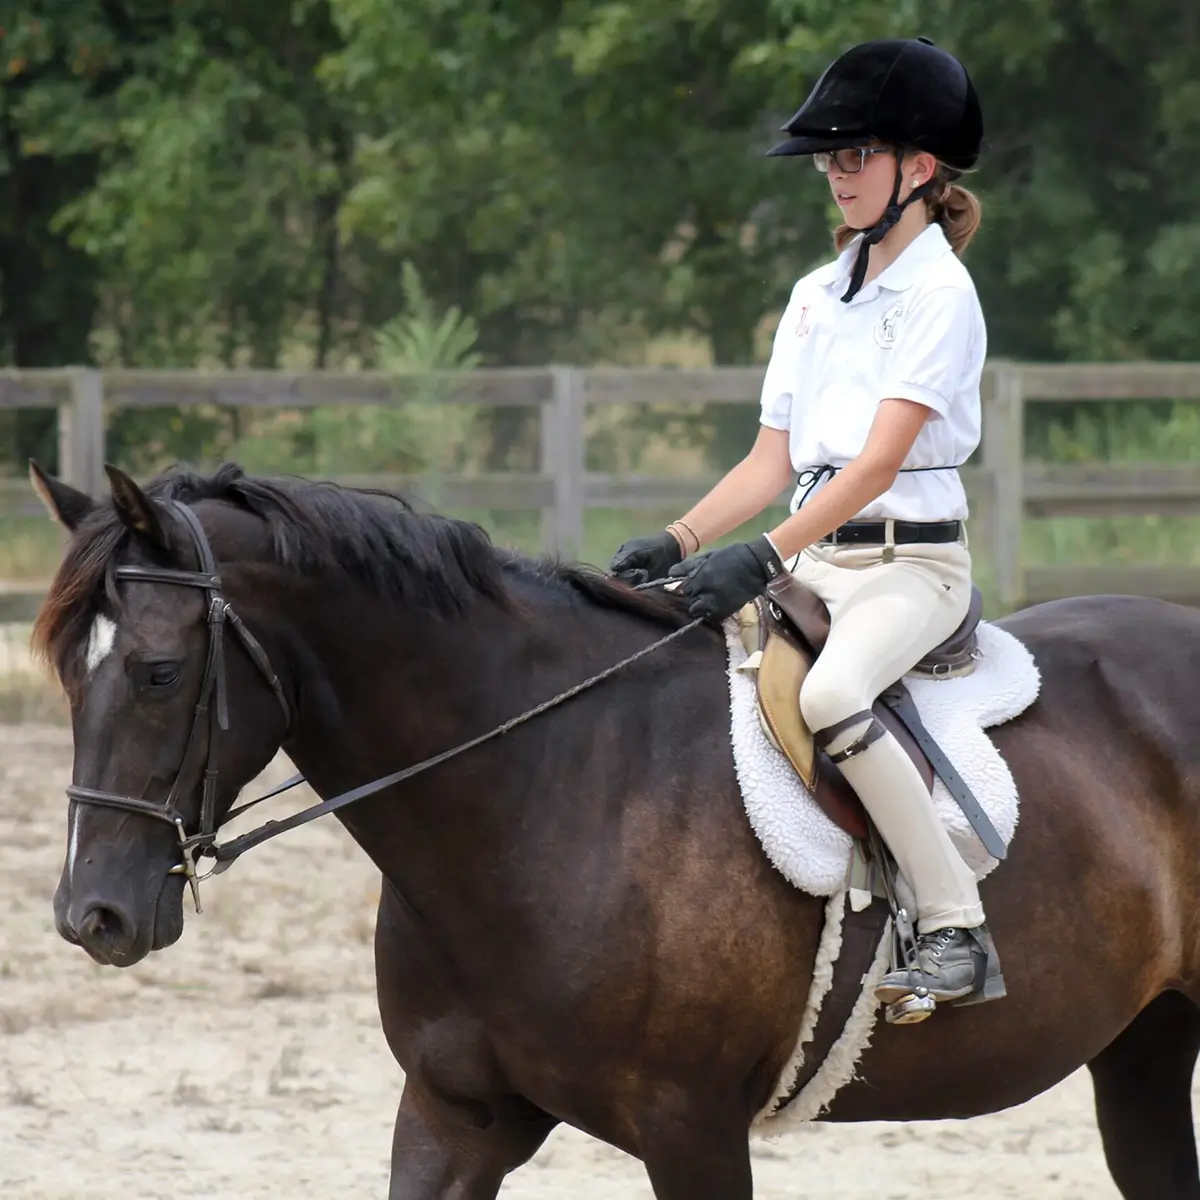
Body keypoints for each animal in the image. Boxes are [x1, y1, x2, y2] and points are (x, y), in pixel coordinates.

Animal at [31, 459, 1200, 1200]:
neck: (543, 789)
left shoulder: (691, 1129)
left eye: (157, 672)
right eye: (66, 677)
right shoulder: (452, 1116)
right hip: (1143, 1052)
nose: (93, 917)